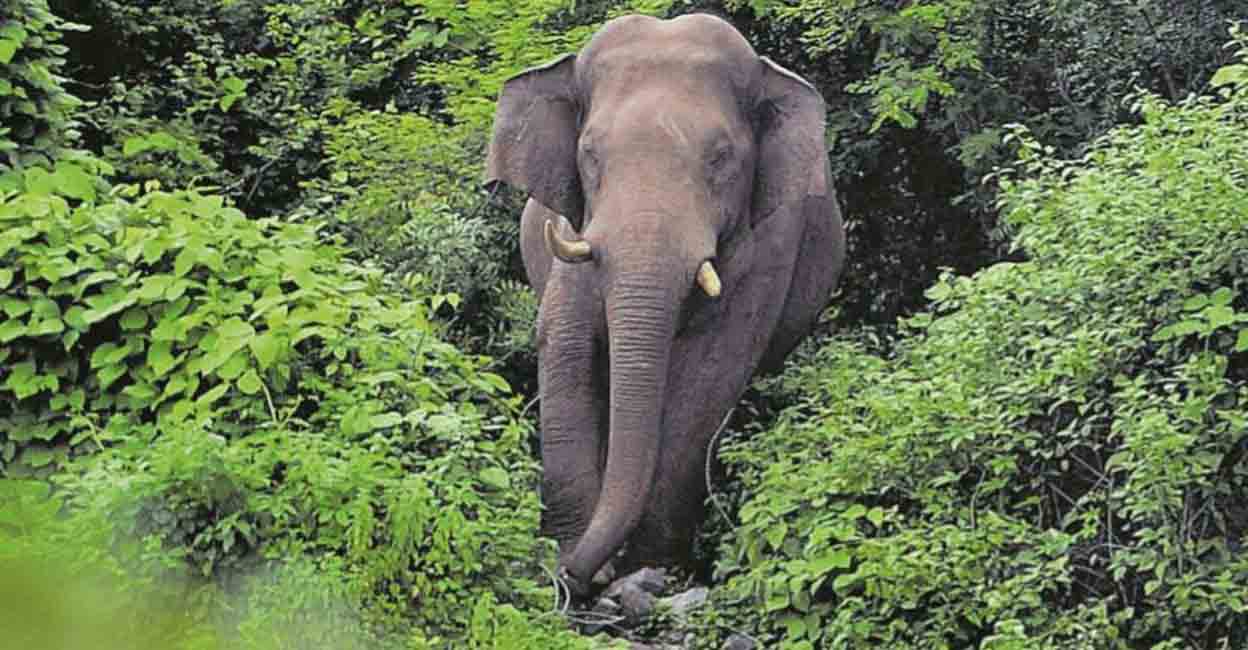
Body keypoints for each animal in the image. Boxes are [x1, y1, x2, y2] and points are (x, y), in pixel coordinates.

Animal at [484, 13, 845, 597]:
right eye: (590, 154)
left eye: (721, 159)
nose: (573, 579)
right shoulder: (572, 227)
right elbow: (565, 345)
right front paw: (574, 553)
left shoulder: (772, 242)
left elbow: (713, 369)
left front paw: (647, 567)